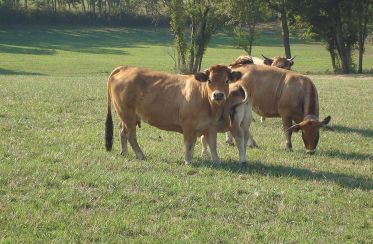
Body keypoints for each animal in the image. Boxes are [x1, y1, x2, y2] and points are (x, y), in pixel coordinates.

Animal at [104, 65, 243, 164]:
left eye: (227, 80)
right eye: (209, 80)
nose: (218, 95)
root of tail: (125, 68)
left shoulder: (211, 127)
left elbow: (212, 145)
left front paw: (216, 160)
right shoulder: (188, 125)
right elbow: (189, 143)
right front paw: (188, 160)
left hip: (126, 116)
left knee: (123, 132)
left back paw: (124, 152)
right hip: (127, 115)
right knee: (131, 135)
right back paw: (140, 155)